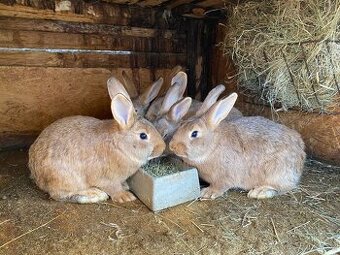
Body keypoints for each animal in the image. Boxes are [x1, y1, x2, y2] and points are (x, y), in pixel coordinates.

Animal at [29, 75, 166, 203]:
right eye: (143, 135)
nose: (163, 147)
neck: (119, 147)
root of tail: (36, 174)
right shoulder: (105, 178)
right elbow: (113, 188)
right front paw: (125, 196)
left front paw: (125, 186)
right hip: (65, 178)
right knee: (60, 194)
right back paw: (95, 194)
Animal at [170, 92, 306, 200]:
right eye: (181, 125)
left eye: (194, 133)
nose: (172, 146)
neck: (213, 146)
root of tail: (301, 152)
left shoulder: (225, 177)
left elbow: (220, 186)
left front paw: (207, 193)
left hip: (276, 173)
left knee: (282, 188)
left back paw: (259, 192)